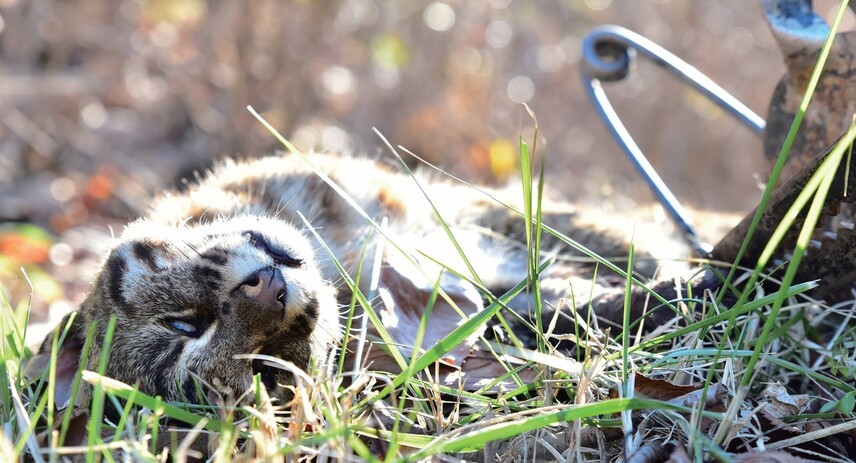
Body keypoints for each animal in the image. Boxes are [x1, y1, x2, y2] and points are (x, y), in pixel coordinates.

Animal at [26, 152, 708, 410]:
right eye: (269, 371)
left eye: (182, 325)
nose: (270, 294)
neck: (341, 257)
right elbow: (561, 307)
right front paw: (688, 291)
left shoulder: (437, 204)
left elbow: (595, 235)